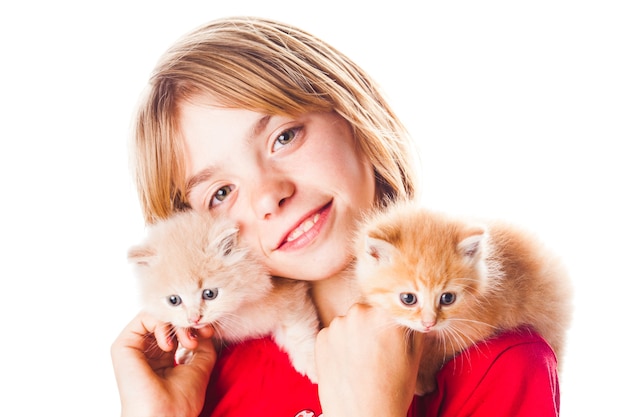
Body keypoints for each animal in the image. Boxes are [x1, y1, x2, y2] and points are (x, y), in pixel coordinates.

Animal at [129, 210, 320, 382]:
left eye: (209, 294)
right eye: (174, 300)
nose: (194, 319)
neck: (237, 309)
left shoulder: (292, 297)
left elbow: (299, 333)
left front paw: (313, 365)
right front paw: (189, 352)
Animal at [352, 200, 572, 394]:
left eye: (447, 298)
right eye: (408, 299)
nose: (429, 323)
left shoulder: (480, 321)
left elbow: (441, 349)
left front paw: (422, 379)